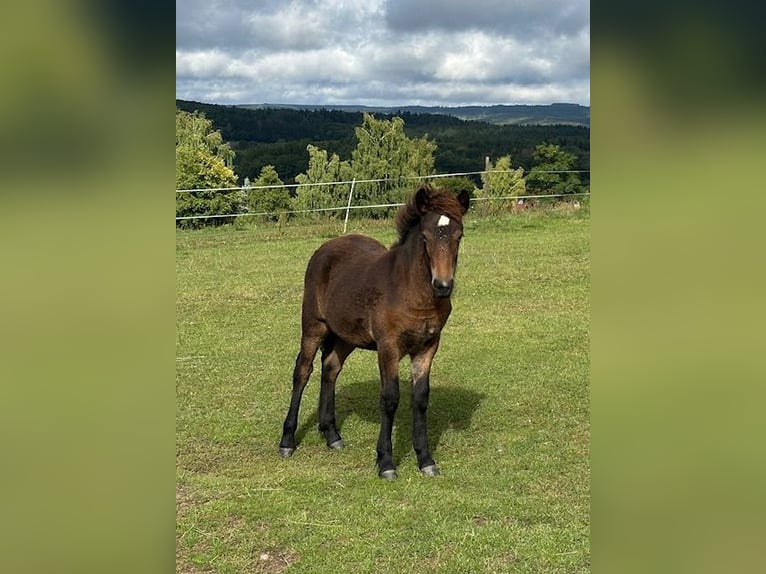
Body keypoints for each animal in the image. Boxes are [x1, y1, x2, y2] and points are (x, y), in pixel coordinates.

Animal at [278, 184, 471, 479]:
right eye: (425, 237)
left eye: (459, 236)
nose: (443, 286)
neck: (412, 292)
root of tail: (326, 247)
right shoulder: (388, 346)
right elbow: (390, 398)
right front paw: (386, 462)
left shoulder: (428, 346)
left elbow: (421, 398)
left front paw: (425, 459)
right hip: (313, 325)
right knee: (302, 371)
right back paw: (287, 441)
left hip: (346, 335)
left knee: (330, 368)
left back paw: (332, 435)